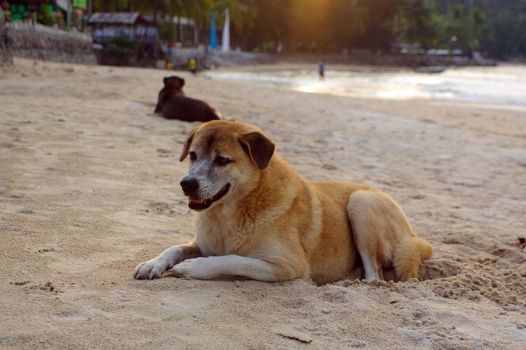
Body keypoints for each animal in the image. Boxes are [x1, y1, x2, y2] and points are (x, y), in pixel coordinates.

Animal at [135, 120, 434, 284]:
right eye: (193, 155)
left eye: (222, 160)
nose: (186, 184)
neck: (232, 212)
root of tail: (415, 235)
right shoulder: (200, 243)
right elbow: (173, 247)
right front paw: (153, 263)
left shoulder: (288, 265)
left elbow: (233, 259)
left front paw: (193, 268)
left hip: (362, 202)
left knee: (375, 276)